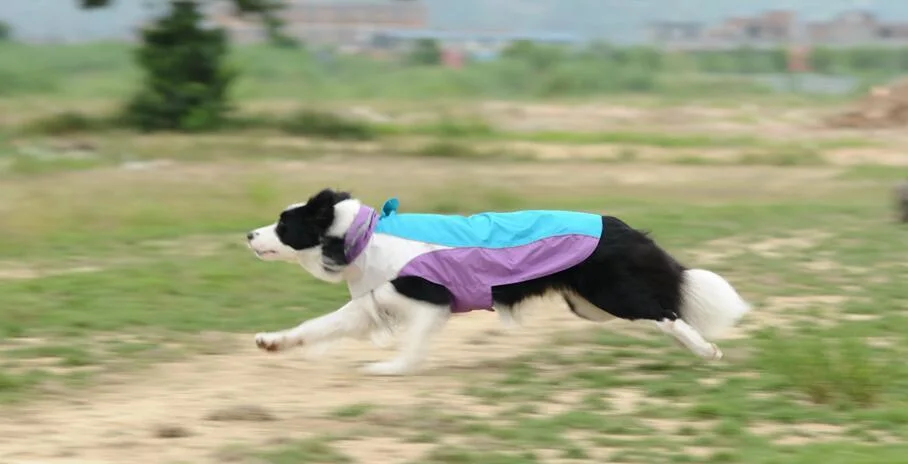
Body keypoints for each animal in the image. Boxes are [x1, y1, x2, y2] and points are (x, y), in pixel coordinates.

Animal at [245, 187, 748, 376]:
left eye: (284, 225)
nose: (248, 234)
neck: (358, 236)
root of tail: (618, 225)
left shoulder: (429, 301)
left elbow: (413, 343)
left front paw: (393, 368)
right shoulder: (374, 301)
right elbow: (318, 326)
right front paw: (271, 341)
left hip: (607, 294)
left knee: (665, 312)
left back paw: (707, 350)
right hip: (588, 304)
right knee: (662, 311)